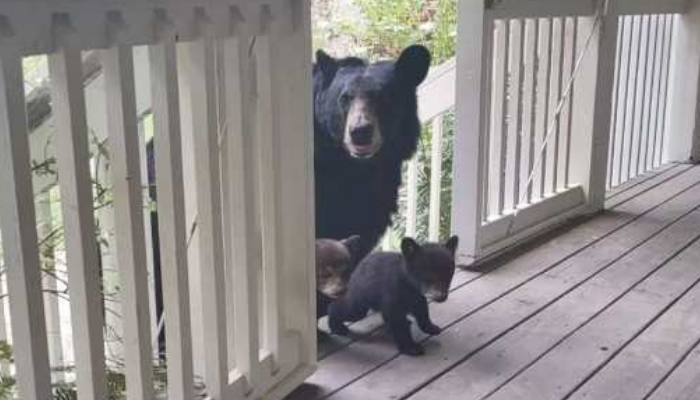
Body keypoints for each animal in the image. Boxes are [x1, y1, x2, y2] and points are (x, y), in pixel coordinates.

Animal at [328, 235, 459, 356]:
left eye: (448, 274)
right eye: (429, 276)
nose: (441, 297)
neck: (409, 284)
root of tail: (357, 267)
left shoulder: (417, 296)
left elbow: (422, 310)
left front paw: (430, 327)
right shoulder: (393, 294)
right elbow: (397, 321)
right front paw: (410, 347)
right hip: (360, 296)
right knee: (349, 309)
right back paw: (337, 327)